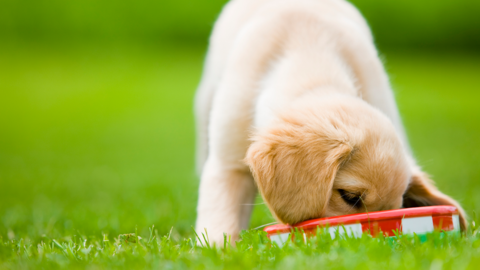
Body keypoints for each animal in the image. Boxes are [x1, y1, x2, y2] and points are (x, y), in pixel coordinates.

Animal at [193, 0, 466, 244]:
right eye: (350, 197)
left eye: (395, 209)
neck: (309, 56)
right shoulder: (228, 164)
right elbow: (220, 217)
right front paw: (217, 251)